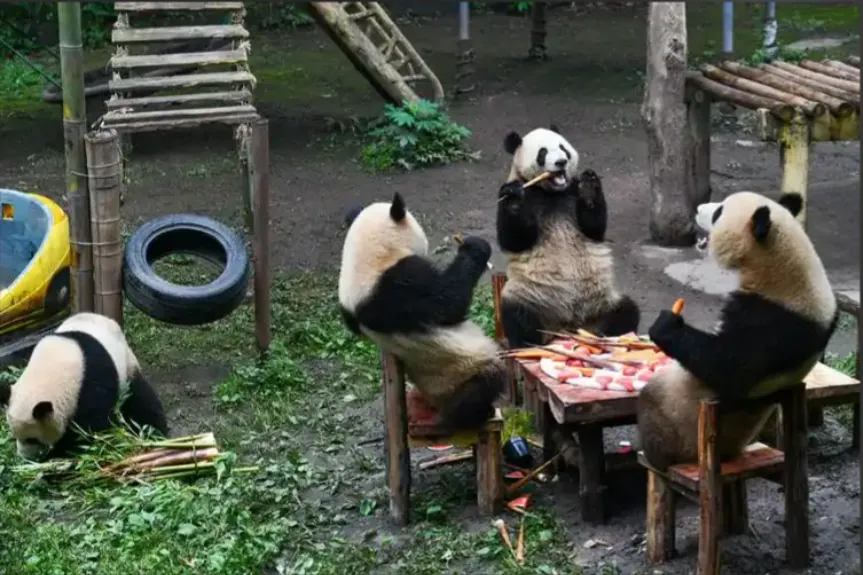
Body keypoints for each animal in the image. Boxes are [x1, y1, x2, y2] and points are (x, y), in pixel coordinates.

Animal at [0, 312, 169, 460]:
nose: (25, 456)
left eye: (32, 439)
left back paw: (154, 434)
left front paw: (56, 456)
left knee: (140, 401)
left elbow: (90, 431)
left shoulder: (92, 382)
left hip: (126, 366)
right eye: (15, 436)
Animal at [338, 192, 506, 430]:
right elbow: (448, 302)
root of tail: (432, 403)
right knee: (483, 386)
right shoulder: (397, 287)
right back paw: (476, 414)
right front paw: (475, 246)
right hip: (461, 373)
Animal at [496, 125, 640, 349]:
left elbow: (594, 228)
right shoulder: (528, 194)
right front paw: (513, 198)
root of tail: (566, 327)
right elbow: (515, 240)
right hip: (532, 296)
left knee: (626, 311)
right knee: (518, 316)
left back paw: (603, 336)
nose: (561, 162)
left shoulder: (572, 190)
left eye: (563, 148)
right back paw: (527, 344)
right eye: (543, 153)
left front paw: (589, 186)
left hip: (602, 302)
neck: (553, 192)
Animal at [637, 191, 838, 471]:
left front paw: (666, 324)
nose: (698, 208)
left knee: (651, 411)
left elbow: (729, 367)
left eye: (719, 212)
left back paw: (656, 457)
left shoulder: (775, 324)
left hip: (674, 417)